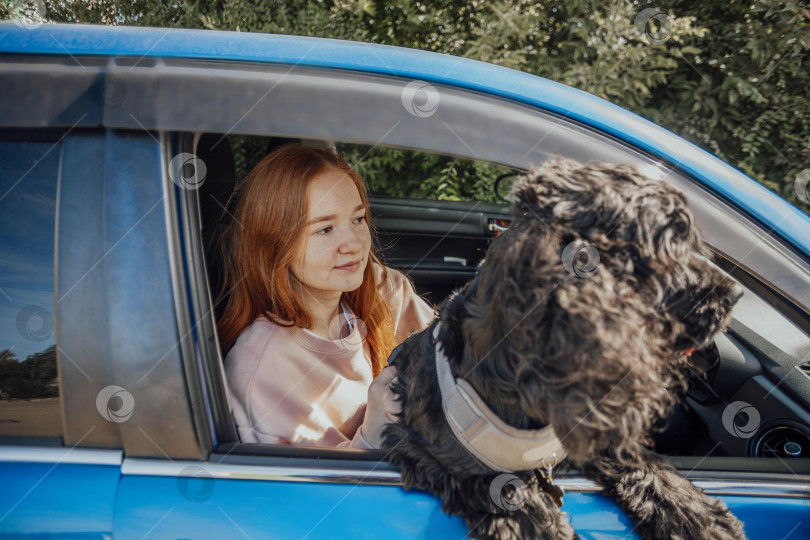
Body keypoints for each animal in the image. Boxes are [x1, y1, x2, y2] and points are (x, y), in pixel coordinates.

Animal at [384, 159, 744, 540]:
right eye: (669, 244)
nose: (736, 293)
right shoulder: (450, 462)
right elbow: (519, 504)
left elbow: (644, 464)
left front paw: (703, 519)